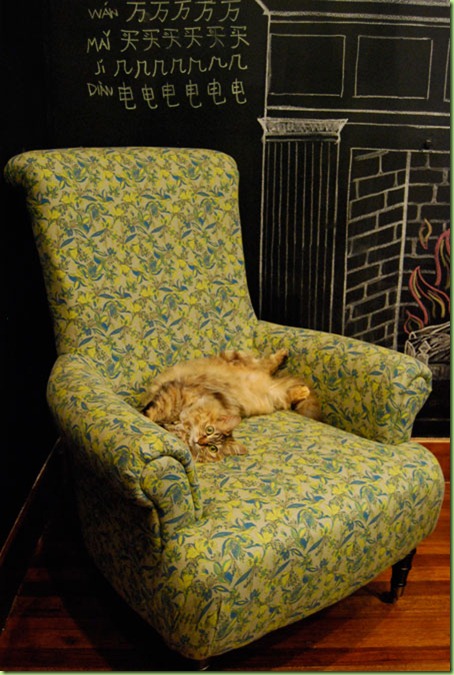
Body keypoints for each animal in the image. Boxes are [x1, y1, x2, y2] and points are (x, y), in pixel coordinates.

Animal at [142, 348, 321, 463]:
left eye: (212, 447)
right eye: (209, 429)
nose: (201, 441)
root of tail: (267, 381)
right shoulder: (169, 394)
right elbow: (150, 413)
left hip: (271, 397)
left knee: (278, 379)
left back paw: (301, 388)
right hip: (234, 356)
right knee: (266, 364)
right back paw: (285, 356)